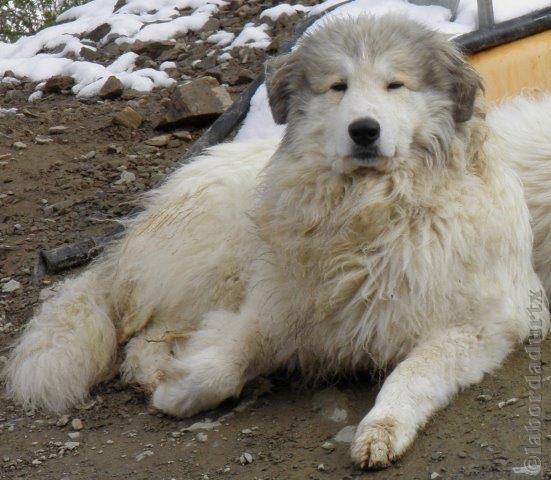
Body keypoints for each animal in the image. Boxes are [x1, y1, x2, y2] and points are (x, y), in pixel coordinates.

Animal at [5, 15, 551, 468]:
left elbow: (412, 377)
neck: (370, 212)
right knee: (143, 341)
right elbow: (224, 360)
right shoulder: (278, 305)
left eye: (396, 85)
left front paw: (380, 431)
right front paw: (182, 390)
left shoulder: (480, 326)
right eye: (338, 87)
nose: (364, 130)